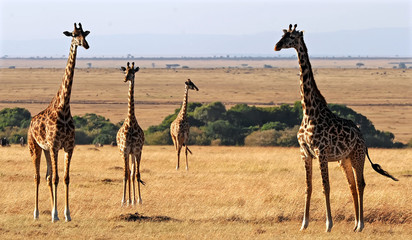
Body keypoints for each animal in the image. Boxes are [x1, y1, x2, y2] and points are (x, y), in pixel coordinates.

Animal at [28, 23, 90, 222]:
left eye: (85, 35)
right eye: (73, 35)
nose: (85, 45)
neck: (63, 108)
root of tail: (30, 122)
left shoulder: (69, 146)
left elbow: (65, 178)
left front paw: (66, 214)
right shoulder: (55, 146)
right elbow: (55, 178)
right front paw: (55, 214)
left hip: (46, 150)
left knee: (47, 176)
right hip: (34, 147)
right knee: (38, 176)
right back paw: (37, 213)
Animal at [272, 24, 398, 232]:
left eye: (292, 37)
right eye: (282, 35)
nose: (276, 46)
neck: (309, 111)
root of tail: (362, 137)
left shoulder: (321, 152)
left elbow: (326, 187)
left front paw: (329, 224)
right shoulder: (304, 153)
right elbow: (308, 187)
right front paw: (304, 224)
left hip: (357, 155)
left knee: (361, 184)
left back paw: (361, 224)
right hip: (344, 159)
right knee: (352, 186)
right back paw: (354, 224)